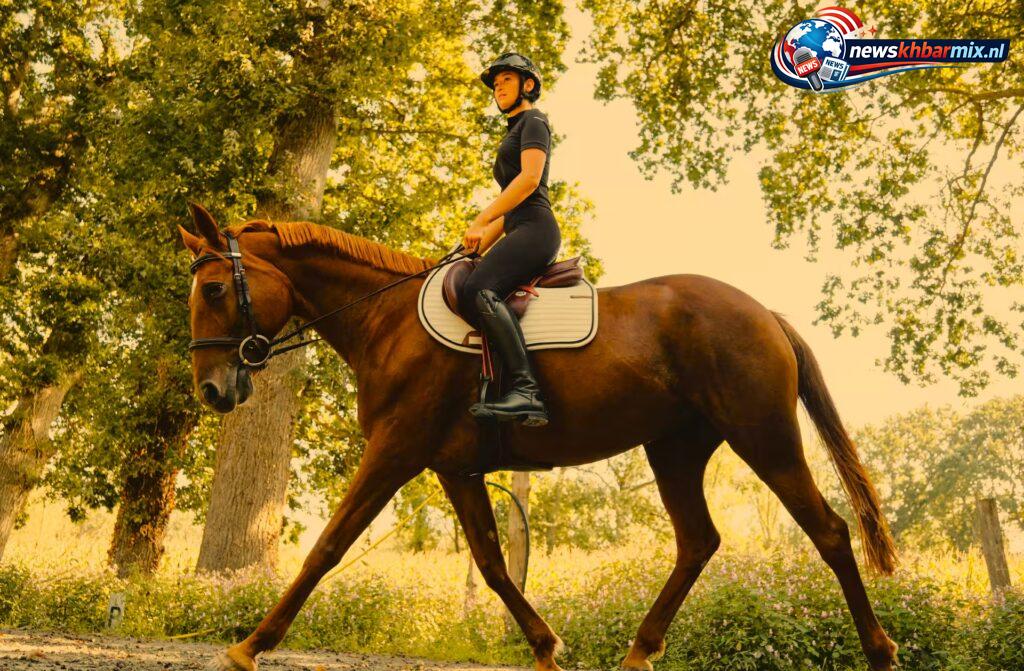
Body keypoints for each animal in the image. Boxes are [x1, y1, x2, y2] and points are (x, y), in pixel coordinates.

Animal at [178, 202, 900, 671]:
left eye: (213, 289)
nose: (212, 390)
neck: (386, 319)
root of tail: (764, 313)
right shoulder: (455, 468)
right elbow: (493, 564)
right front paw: (548, 647)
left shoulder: (394, 451)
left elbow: (326, 547)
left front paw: (248, 646)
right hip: (675, 448)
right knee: (698, 541)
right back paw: (639, 652)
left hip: (764, 436)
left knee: (829, 532)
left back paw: (880, 650)